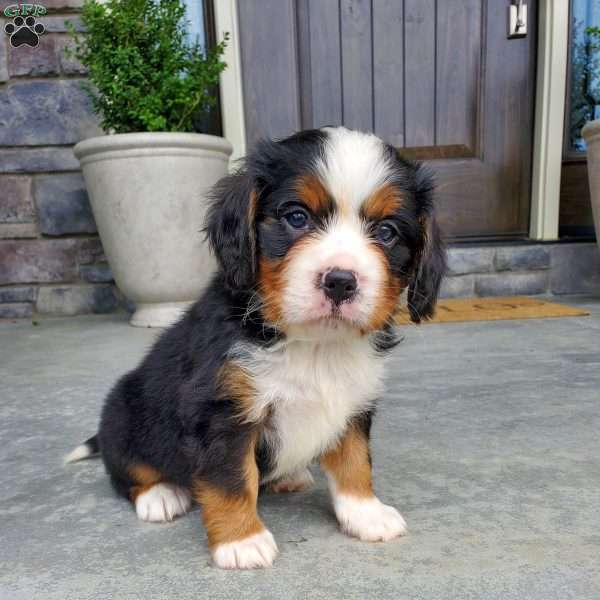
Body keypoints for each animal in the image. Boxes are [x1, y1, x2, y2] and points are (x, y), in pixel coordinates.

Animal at [67, 127, 446, 572]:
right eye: (296, 217)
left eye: (386, 232)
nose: (340, 281)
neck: (313, 346)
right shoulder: (222, 413)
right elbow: (231, 479)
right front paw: (241, 541)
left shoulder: (353, 403)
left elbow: (355, 462)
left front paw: (365, 513)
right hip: (124, 413)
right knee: (127, 471)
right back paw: (160, 495)